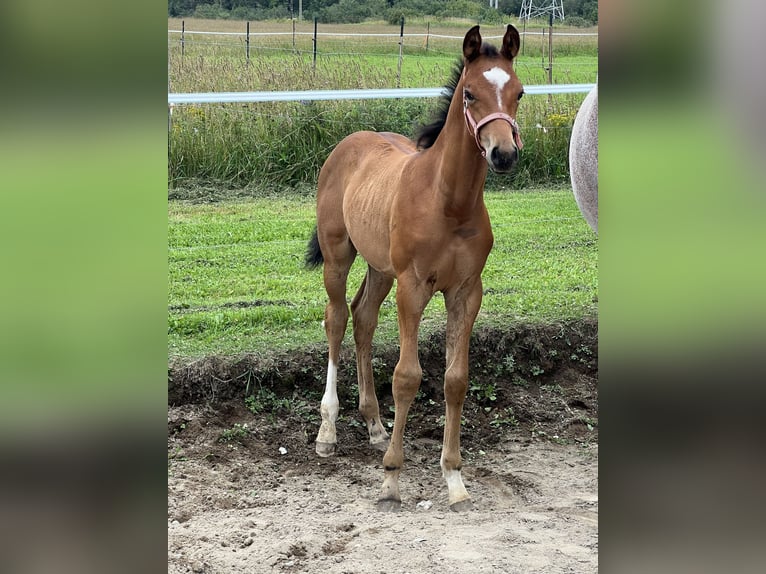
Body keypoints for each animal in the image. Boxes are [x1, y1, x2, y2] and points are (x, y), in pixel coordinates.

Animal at [308, 25, 524, 512]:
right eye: (469, 94)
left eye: (519, 92)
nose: (503, 154)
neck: (449, 203)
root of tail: (348, 142)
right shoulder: (413, 287)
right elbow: (407, 377)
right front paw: (391, 479)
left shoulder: (466, 291)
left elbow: (455, 380)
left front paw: (455, 479)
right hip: (339, 256)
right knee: (336, 318)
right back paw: (327, 431)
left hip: (381, 267)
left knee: (363, 317)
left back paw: (373, 425)